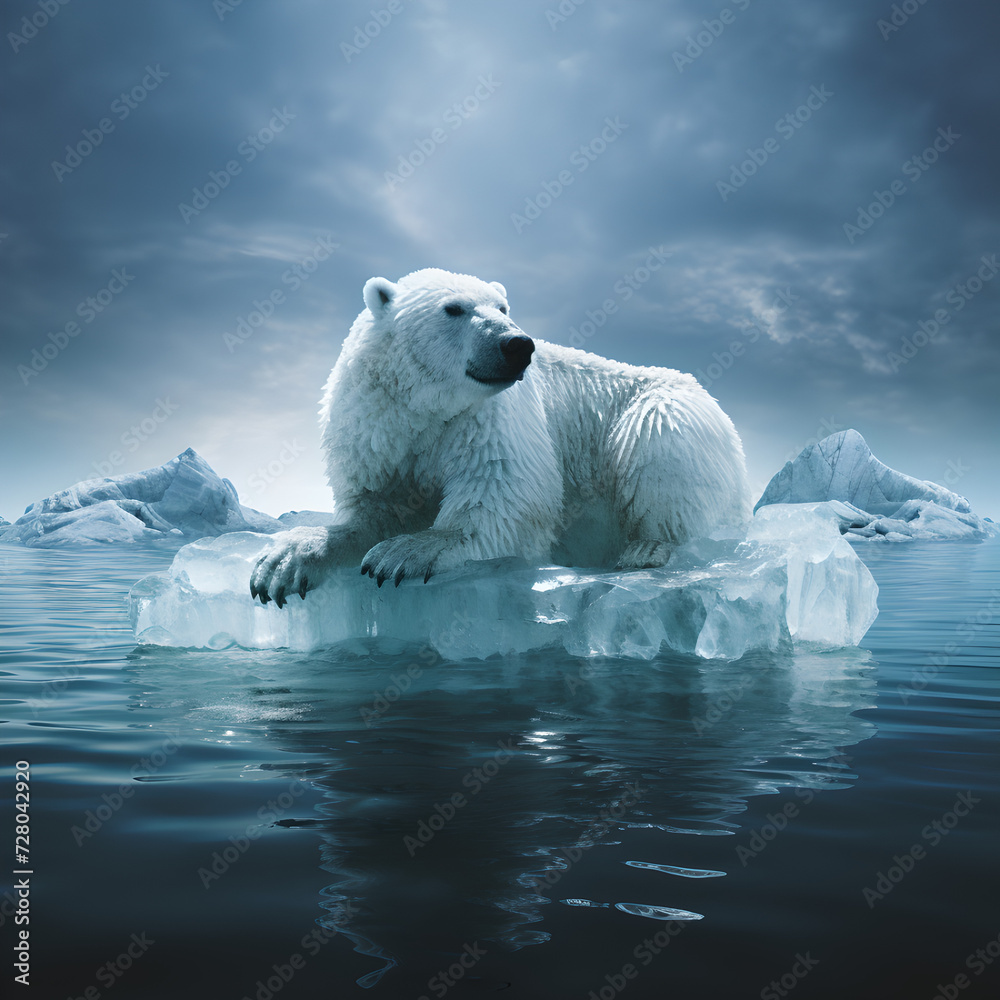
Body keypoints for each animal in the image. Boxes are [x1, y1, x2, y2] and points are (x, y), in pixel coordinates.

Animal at [250, 268, 750, 607]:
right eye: (454, 308)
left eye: (503, 308)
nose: (518, 344)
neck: (429, 403)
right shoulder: (378, 422)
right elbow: (375, 507)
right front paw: (282, 563)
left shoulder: (488, 419)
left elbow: (504, 498)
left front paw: (401, 554)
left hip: (667, 413)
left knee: (660, 454)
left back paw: (646, 547)